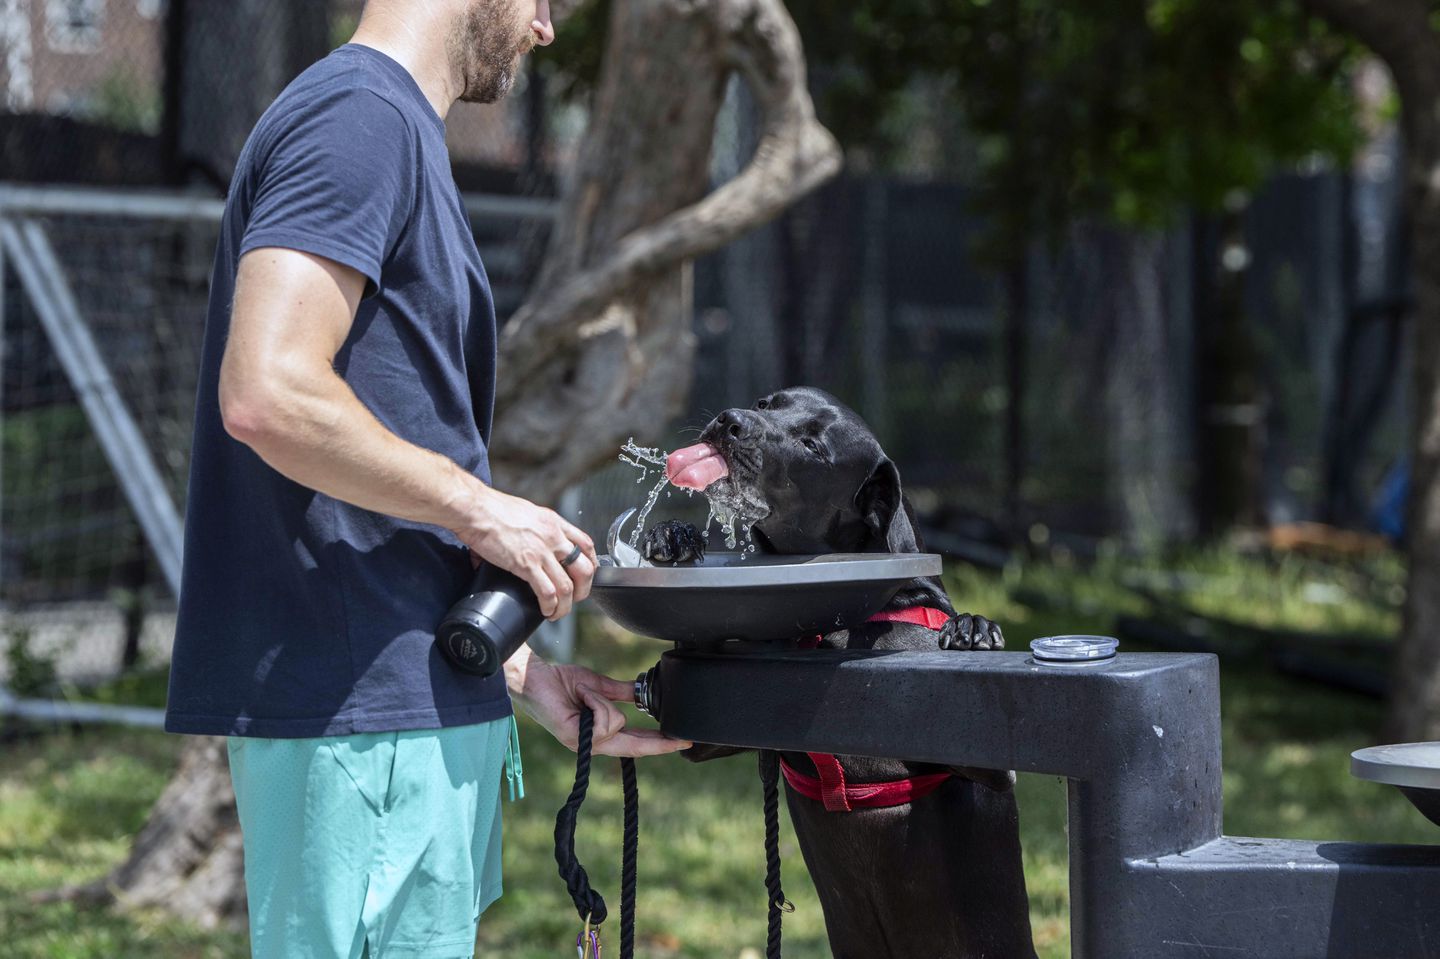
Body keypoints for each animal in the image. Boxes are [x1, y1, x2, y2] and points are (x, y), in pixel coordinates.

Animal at [645, 385, 1036, 956]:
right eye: (766, 404)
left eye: (813, 446)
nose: (730, 420)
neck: (827, 623)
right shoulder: (709, 730)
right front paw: (673, 537)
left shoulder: (990, 769)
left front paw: (974, 628)